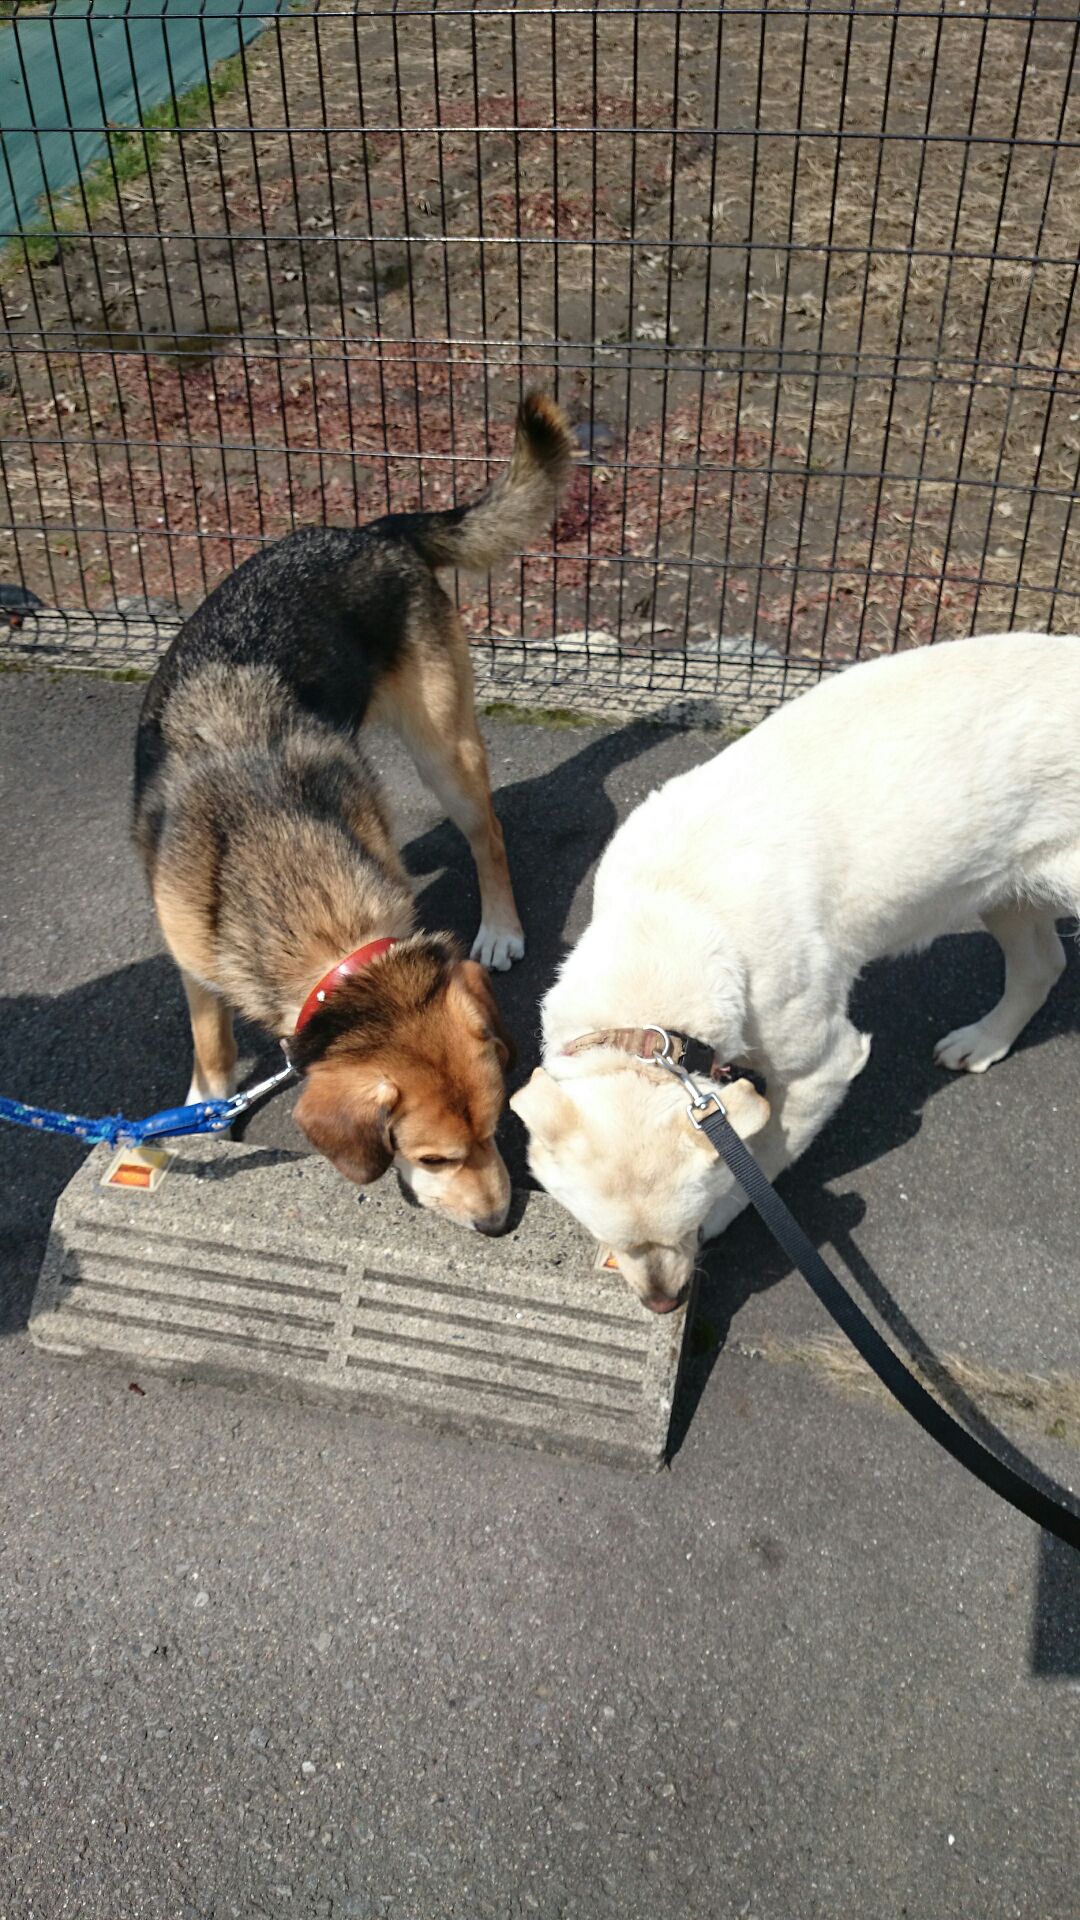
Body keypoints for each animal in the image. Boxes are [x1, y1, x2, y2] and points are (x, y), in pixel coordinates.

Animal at [133, 393, 572, 1228]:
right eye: (433, 1158)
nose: (500, 1222)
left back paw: (500, 927)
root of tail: (371, 531)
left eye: (496, 1128)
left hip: (443, 749)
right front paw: (201, 1109)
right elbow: (211, 1050)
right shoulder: (193, 962)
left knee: (489, 834)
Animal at [511, 637, 1076, 1313]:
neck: (671, 914)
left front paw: (730, 1209)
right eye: (602, 1232)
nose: (664, 1305)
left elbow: (765, 1155)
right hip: (1004, 887)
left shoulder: (823, 1065)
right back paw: (982, 1042)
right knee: (1043, 964)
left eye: (686, 1229)